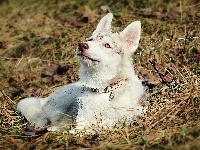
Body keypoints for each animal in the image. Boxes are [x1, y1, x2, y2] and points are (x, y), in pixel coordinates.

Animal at [16, 12, 145, 134]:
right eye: (90, 40)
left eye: (107, 45)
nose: (82, 45)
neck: (104, 90)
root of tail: (45, 99)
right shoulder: (82, 121)